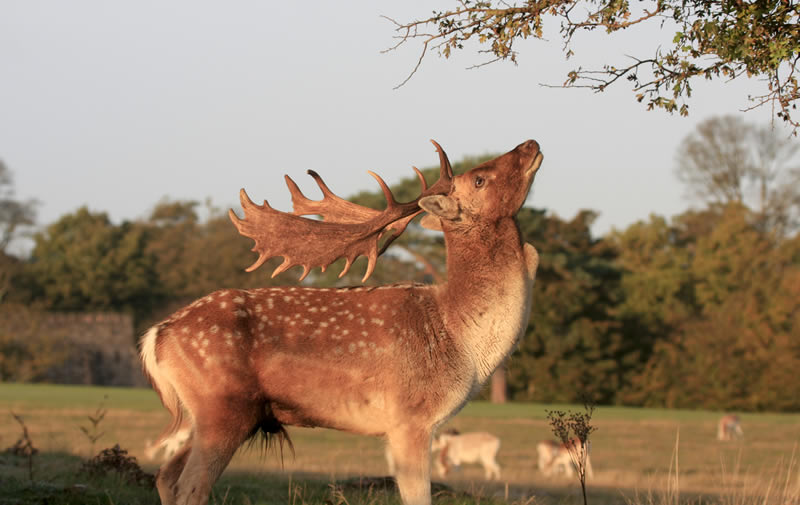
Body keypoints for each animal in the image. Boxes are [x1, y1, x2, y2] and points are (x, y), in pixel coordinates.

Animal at [139, 139, 543, 505]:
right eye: (479, 179)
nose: (530, 143)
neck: (458, 335)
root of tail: (157, 334)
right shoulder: (409, 419)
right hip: (223, 407)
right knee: (189, 487)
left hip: (205, 415)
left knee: (164, 476)